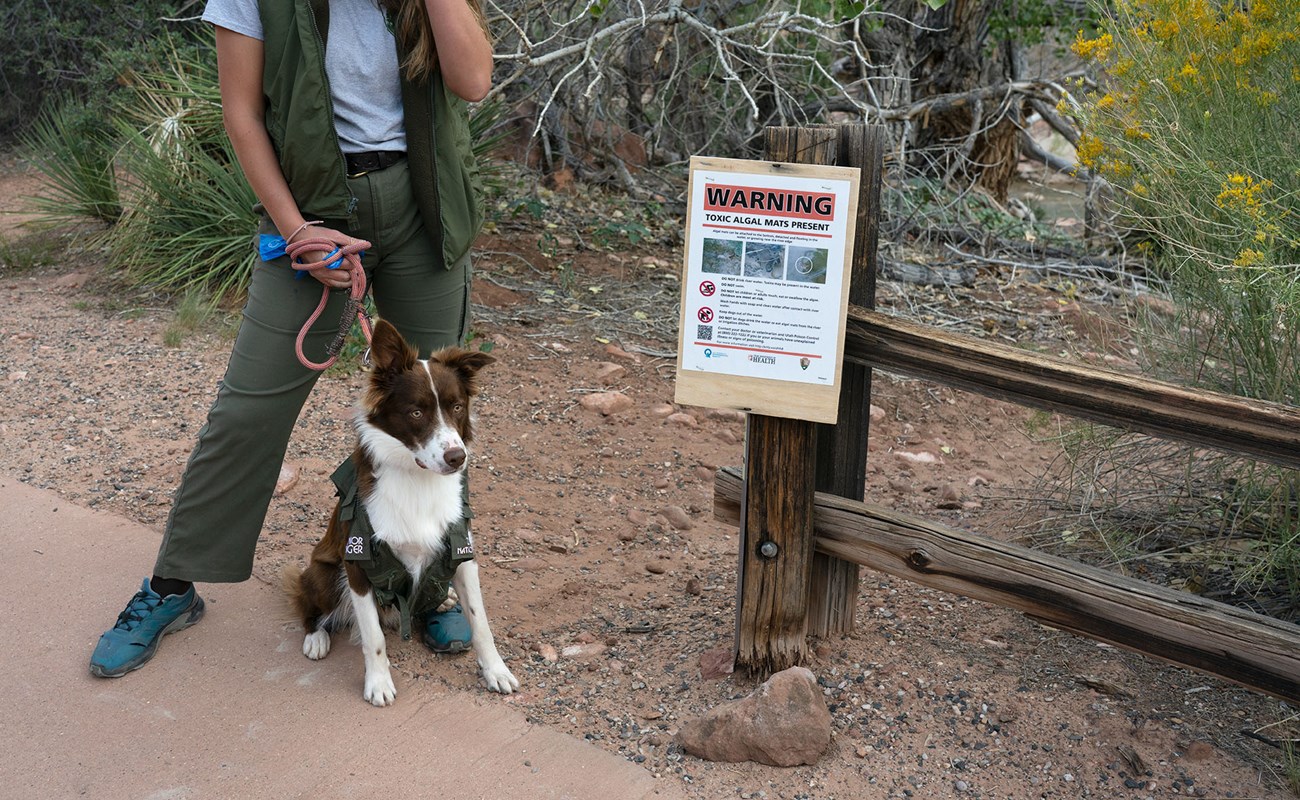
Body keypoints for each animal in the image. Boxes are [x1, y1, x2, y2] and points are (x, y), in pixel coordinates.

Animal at [288, 318, 517, 707]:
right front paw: (378, 683)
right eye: (416, 412)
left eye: (457, 407)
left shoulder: (462, 553)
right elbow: (374, 638)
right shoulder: (357, 562)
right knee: (309, 604)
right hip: (324, 574)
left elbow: (481, 621)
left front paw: (496, 670)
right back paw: (316, 637)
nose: (457, 458)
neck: (417, 479)